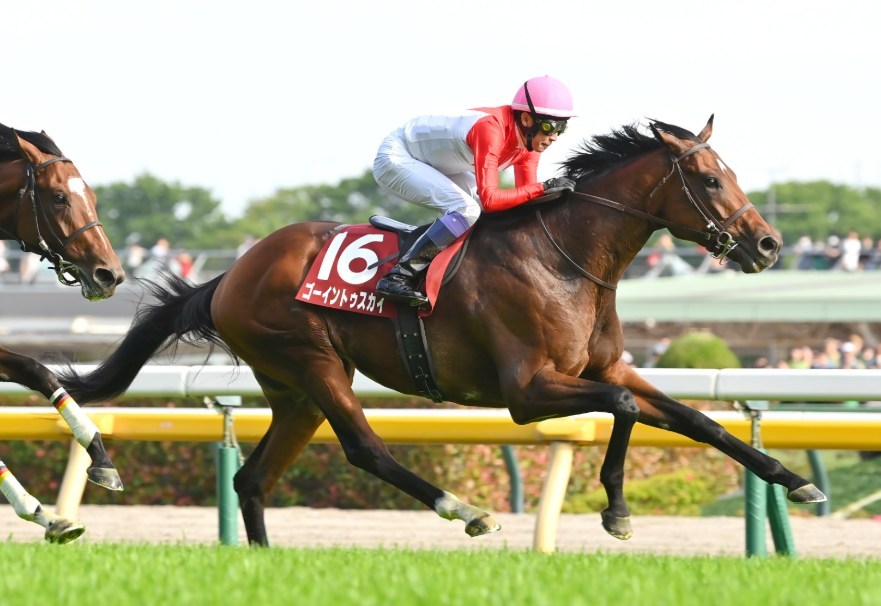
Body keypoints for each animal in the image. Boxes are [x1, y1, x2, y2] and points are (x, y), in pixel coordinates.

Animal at [57, 115, 826, 546]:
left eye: (729, 171)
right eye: (708, 178)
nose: (766, 244)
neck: (566, 258)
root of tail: (231, 274)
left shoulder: (605, 368)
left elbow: (700, 421)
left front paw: (793, 480)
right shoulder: (527, 391)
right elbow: (625, 411)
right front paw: (616, 511)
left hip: (293, 389)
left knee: (252, 479)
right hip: (312, 363)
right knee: (364, 449)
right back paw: (466, 510)